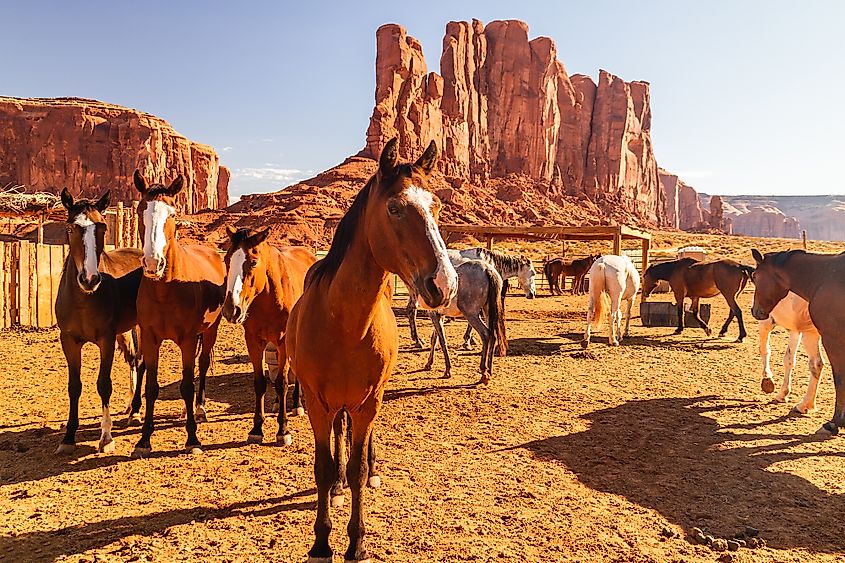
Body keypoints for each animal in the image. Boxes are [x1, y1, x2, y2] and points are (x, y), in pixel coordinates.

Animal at [54, 189, 144, 454]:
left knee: (141, 363)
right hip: (125, 331)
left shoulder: (106, 339)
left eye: (103, 227)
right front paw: (68, 438)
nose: (89, 279)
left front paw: (106, 438)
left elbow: (104, 383)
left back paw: (136, 410)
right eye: (70, 228)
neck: (84, 299)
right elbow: (74, 386)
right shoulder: (69, 340)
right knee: (133, 360)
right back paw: (130, 408)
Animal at [130, 172, 226, 458]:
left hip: (210, 331)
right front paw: (143, 441)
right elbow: (151, 387)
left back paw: (199, 408)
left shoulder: (187, 340)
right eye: (141, 210)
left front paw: (192, 439)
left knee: (201, 366)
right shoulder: (150, 338)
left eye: (172, 214)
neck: (166, 289)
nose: (153, 263)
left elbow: (186, 385)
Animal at [221, 225, 316, 446]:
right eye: (226, 260)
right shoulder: (254, 342)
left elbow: (282, 383)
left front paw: (283, 430)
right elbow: (260, 382)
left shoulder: (283, 342)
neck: (267, 296)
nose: (231, 310)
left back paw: (297, 405)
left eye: (253, 261)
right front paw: (256, 429)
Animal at [284, 138, 458, 563]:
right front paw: (321, 541)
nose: (444, 284)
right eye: (394, 208)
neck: (345, 324)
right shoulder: (318, 403)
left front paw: (357, 543)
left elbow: (359, 467)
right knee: (338, 440)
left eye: (436, 205)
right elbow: (323, 467)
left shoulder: (368, 402)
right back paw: (337, 486)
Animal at [748, 250, 840, 436]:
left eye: (754, 276)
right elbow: (793, 360)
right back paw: (805, 403)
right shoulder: (802, 331)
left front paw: (772, 384)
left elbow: (770, 351)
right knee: (816, 364)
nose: (754, 310)